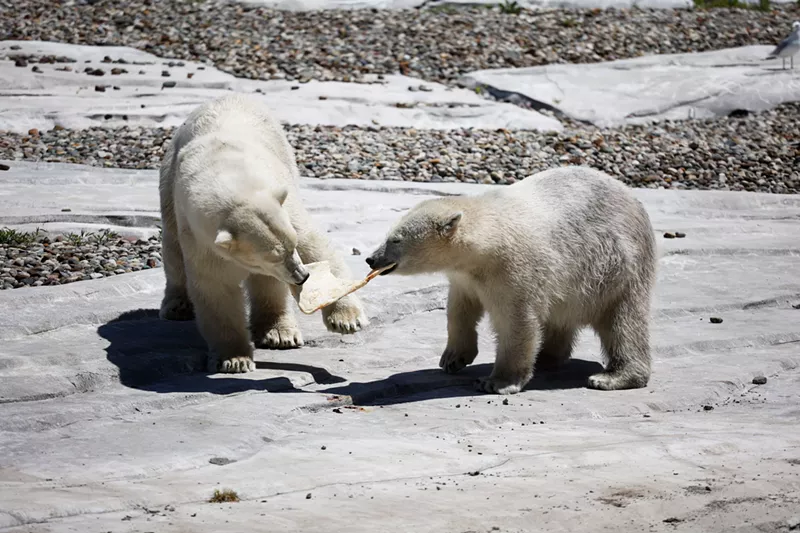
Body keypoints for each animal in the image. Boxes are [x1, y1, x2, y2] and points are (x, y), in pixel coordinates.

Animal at [159, 93, 368, 372]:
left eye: (292, 246)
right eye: (271, 257)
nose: (302, 276)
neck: (230, 176)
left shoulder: (284, 204)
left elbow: (315, 247)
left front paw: (346, 319)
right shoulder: (201, 237)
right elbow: (216, 287)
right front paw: (235, 359)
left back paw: (279, 333)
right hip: (168, 181)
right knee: (172, 247)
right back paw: (177, 306)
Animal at [368, 166, 656, 394]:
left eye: (395, 240)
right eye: (388, 235)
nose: (371, 259)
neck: (488, 238)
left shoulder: (513, 270)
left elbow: (516, 321)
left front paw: (497, 382)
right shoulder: (465, 277)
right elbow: (460, 310)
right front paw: (453, 358)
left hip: (619, 268)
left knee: (624, 323)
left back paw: (612, 377)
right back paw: (547, 357)